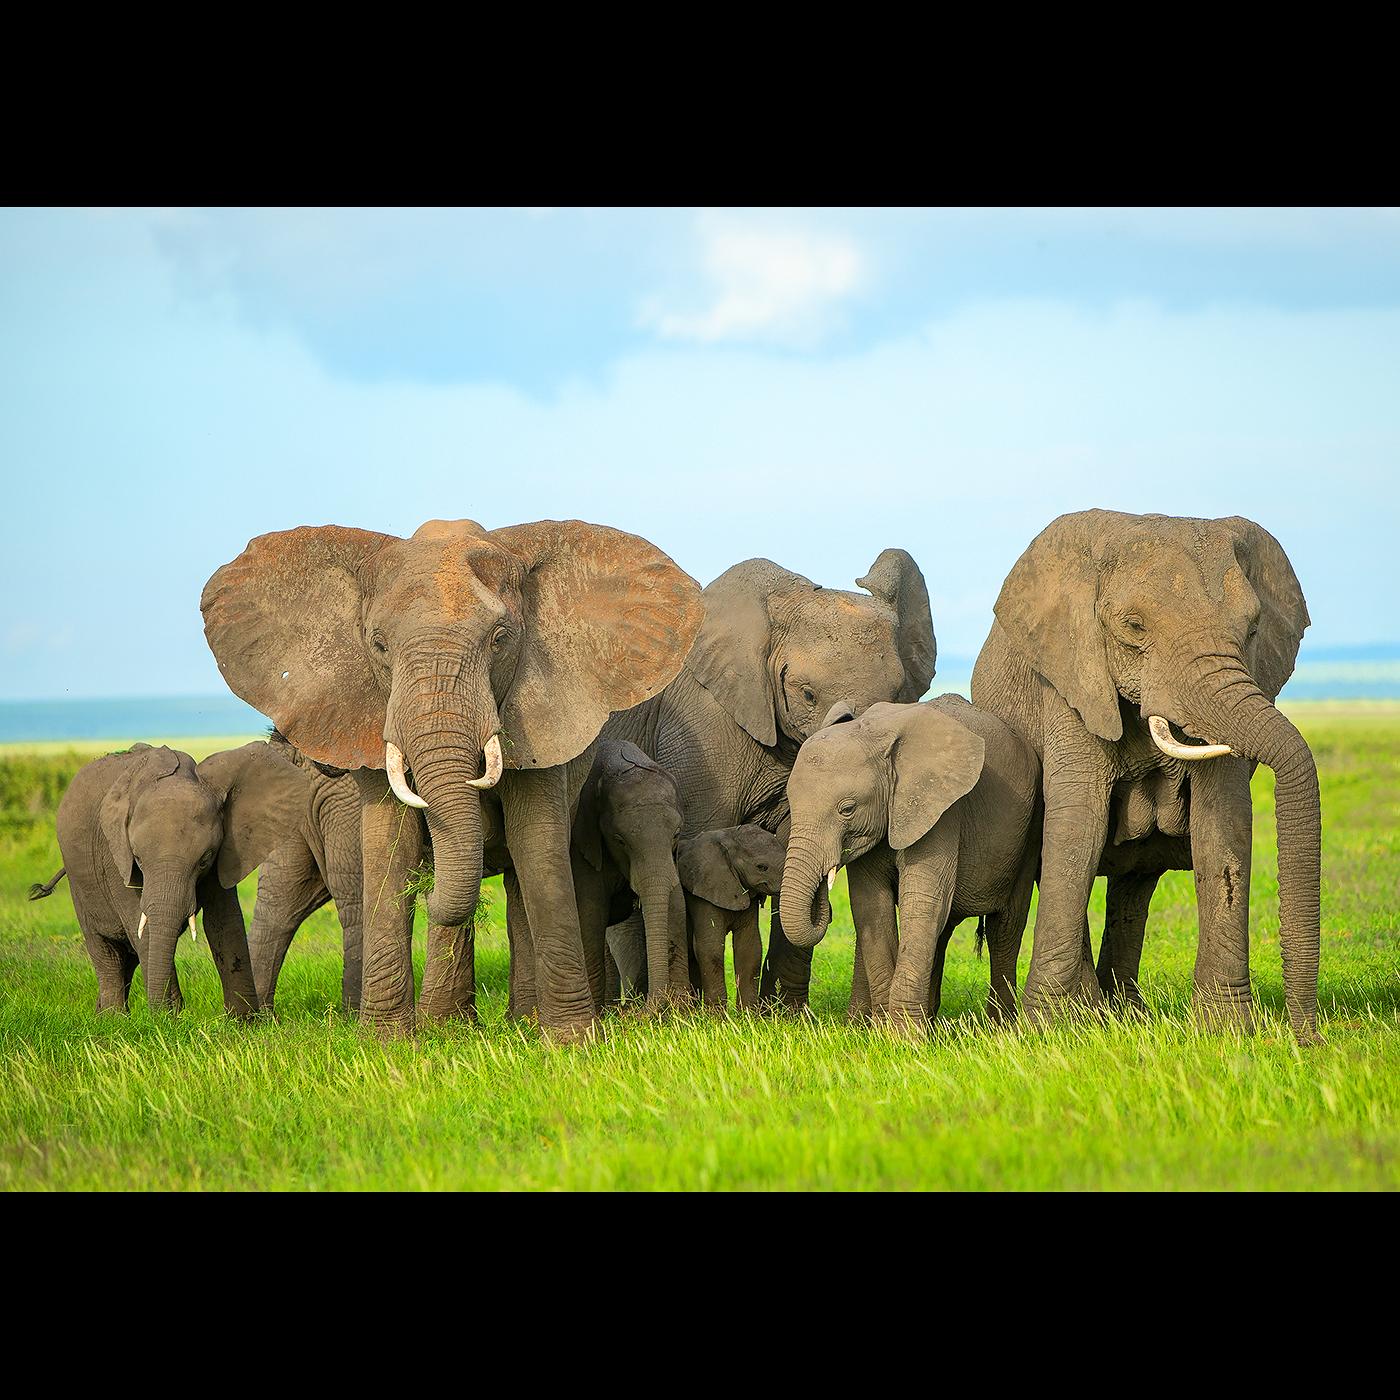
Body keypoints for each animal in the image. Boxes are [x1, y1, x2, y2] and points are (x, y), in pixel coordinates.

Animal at [29, 744, 309, 1019]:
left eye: (204, 860)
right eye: (138, 859)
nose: (163, 1015)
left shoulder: (226, 851)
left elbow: (224, 921)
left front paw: (243, 1023)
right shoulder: (115, 853)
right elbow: (141, 926)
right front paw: (168, 1020)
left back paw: (104, 1016)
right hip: (79, 880)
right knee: (105, 950)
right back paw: (112, 1020)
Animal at [203, 515, 705, 1041]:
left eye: (500, 639)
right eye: (378, 644)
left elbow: (537, 848)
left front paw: (570, 1041)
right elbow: (389, 846)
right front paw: (385, 1043)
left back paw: (512, 1022)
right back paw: (446, 1026)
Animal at [677, 823, 789, 1013]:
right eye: (761, 866)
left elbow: (750, 947)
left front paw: (748, 1015)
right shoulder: (703, 892)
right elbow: (710, 947)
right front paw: (716, 1016)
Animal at [968, 509, 1316, 1047]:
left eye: (1253, 629)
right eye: (1133, 627)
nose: (1309, 1039)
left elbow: (1224, 828)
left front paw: (1226, 1034)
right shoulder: (1071, 679)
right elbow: (1078, 828)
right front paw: (1048, 1033)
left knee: (1132, 889)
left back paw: (1123, 1015)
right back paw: (1092, 1013)